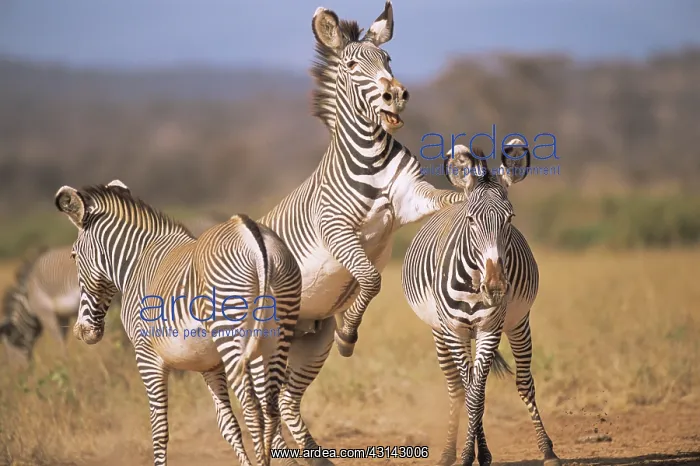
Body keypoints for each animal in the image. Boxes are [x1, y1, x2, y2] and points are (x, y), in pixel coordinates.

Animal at [54, 180, 302, 466]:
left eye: (73, 256)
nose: (82, 332)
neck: (136, 263)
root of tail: (248, 230)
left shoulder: (146, 356)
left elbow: (159, 428)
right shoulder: (210, 364)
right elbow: (227, 425)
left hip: (231, 333)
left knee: (252, 407)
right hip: (277, 331)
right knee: (271, 407)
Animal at [257, 3, 464, 461]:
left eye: (387, 59)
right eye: (353, 66)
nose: (397, 95)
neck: (370, 158)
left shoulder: (412, 197)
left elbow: (445, 201)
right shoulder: (335, 228)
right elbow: (370, 278)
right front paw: (350, 334)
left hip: (309, 338)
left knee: (285, 400)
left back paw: (311, 456)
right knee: (264, 400)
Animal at [401, 141, 561, 466]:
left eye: (510, 218)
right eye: (471, 220)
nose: (496, 287)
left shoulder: (491, 328)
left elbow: (478, 394)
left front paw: (477, 453)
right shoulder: (454, 331)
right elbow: (469, 391)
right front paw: (465, 455)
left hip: (518, 323)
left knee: (521, 383)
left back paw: (546, 449)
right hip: (441, 332)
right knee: (456, 388)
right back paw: (448, 452)